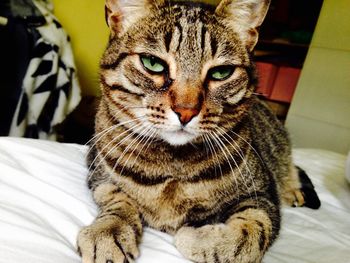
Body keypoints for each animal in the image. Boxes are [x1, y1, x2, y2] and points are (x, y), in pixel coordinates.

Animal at [77, 1, 320, 262]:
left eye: (221, 72)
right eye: (152, 63)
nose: (186, 111)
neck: (173, 164)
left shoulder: (262, 195)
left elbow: (250, 234)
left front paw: (195, 237)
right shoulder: (97, 172)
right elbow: (117, 197)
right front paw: (108, 230)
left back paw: (294, 191)